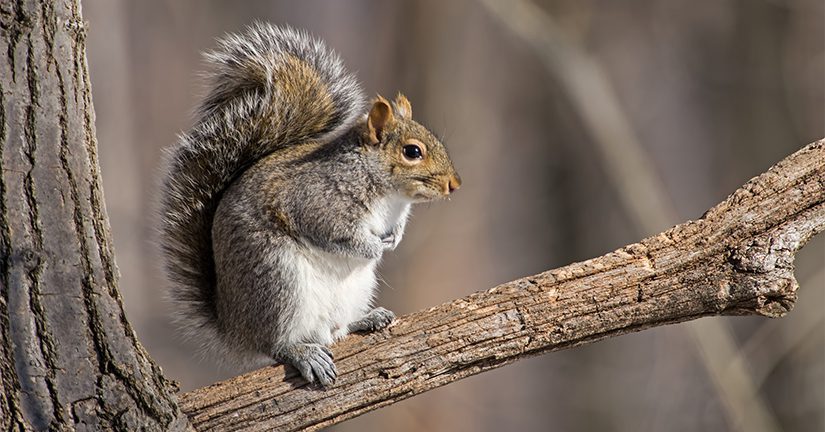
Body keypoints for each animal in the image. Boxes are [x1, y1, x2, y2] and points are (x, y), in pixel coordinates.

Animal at [158, 23, 460, 386]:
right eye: (412, 152)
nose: (454, 184)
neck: (391, 197)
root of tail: (234, 329)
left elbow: (394, 229)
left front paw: (394, 238)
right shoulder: (317, 203)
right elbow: (335, 235)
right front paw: (374, 248)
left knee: (336, 330)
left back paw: (367, 319)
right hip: (279, 281)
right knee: (277, 344)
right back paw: (302, 352)